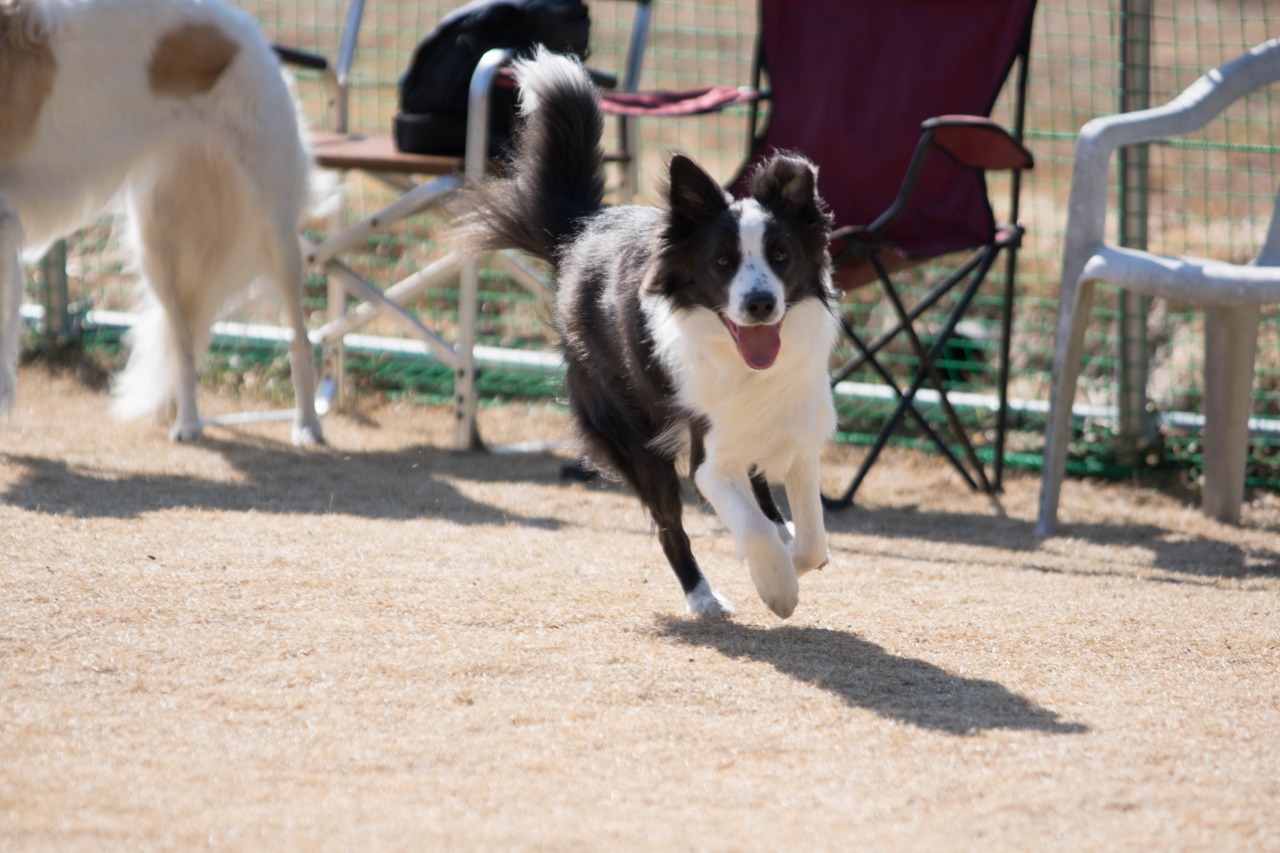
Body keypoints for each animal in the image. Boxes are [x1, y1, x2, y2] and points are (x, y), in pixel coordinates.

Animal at [1, 0, 320, 445]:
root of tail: (247, 28)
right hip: (159, 245)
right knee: (182, 343)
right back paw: (186, 422)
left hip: (274, 229)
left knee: (300, 340)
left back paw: (307, 425)